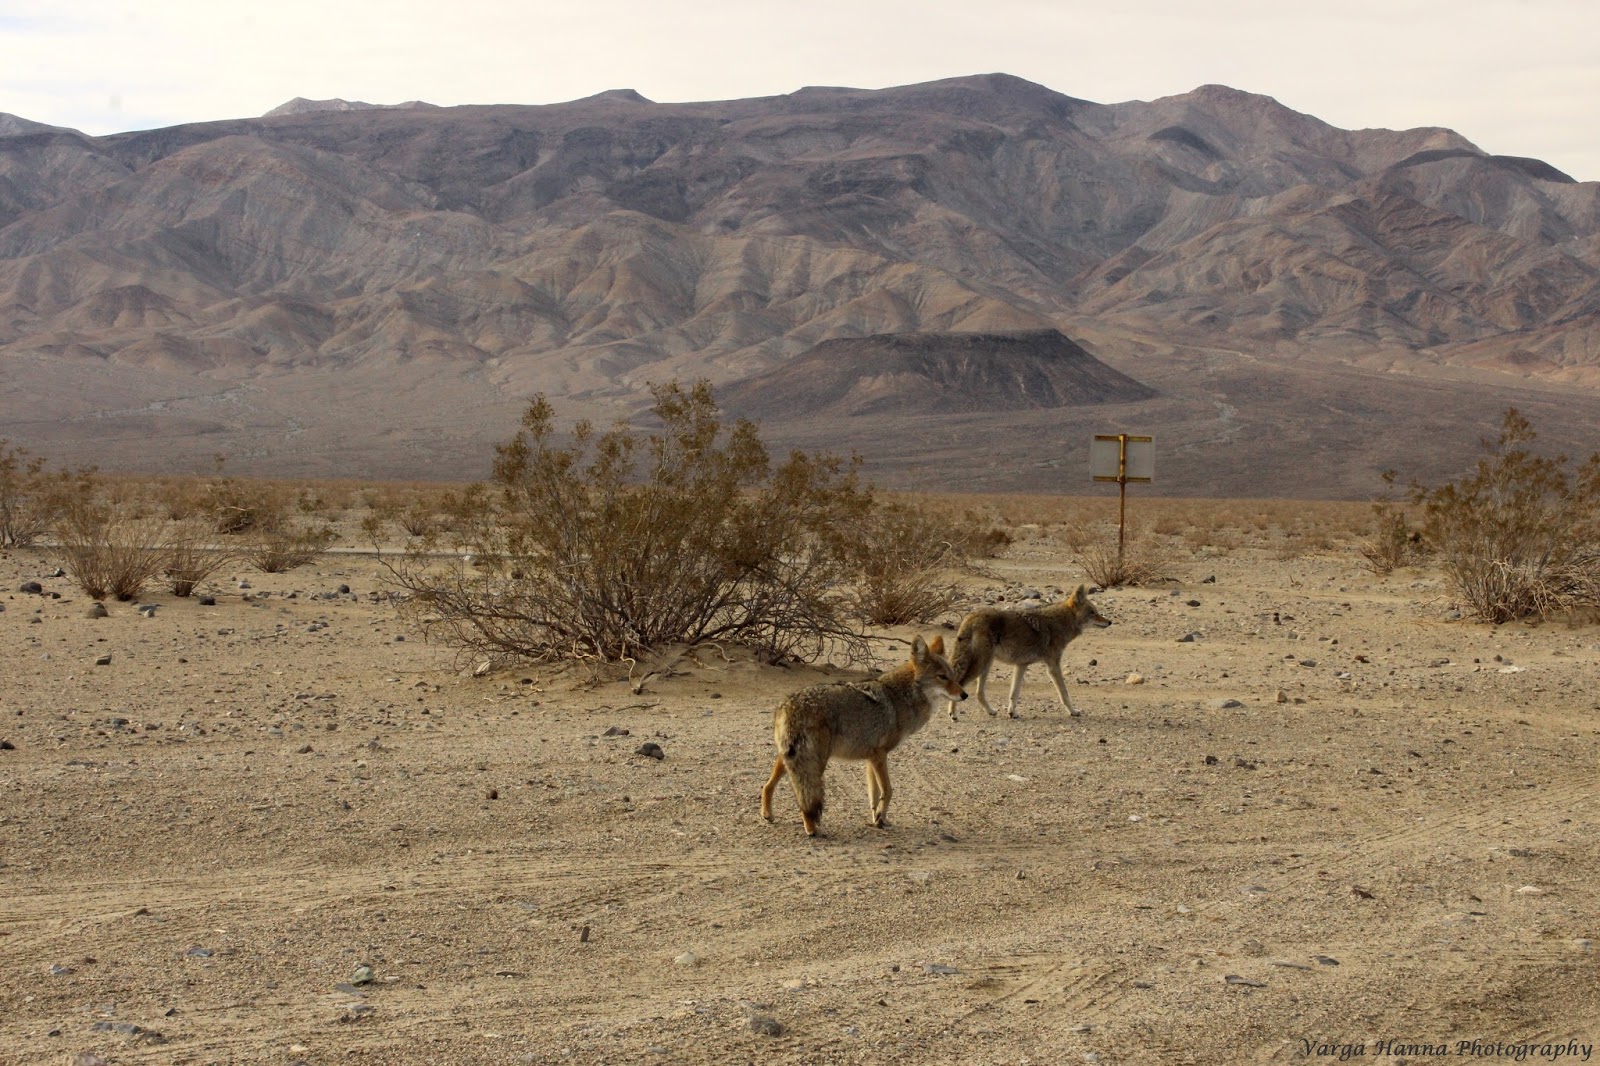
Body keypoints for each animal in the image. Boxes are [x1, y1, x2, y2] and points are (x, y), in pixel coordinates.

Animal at [760, 635, 967, 837]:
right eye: (942, 677)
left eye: (953, 676)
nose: (965, 695)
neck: (900, 697)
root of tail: (790, 705)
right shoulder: (880, 755)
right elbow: (888, 791)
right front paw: (880, 818)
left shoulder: (871, 758)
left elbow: (874, 795)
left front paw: (878, 819)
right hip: (815, 763)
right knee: (805, 798)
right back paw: (812, 829)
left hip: (789, 758)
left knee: (767, 786)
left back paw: (768, 814)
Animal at [949, 585, 1111, 719]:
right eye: (1092, 612)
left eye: (1096, 612)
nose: (1110, 622)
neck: (1061, 623)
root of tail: (970, 616)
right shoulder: (1053, 666)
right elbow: (1064, 693)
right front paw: (1073, 711)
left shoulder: (1021, 665)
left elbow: (1014, 694)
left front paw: (1012, 713)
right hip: (981, 665)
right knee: (960, 683)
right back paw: (953, 714)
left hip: (986, 665)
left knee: (978, 693)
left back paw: (991, 711)